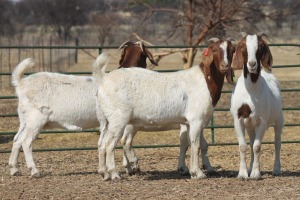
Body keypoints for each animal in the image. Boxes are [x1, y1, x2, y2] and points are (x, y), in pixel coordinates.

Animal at [96, 38, 237, 180]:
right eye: (214, 49)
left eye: (232, 50)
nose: (225, 66)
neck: (205, 80)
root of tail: (104, 82)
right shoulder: (196, 119)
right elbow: (195, 144)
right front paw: (198, 173)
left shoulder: (191, 122)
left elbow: (195, 144)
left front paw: (198, 170)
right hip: (119, 119)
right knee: (111, 144)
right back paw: (115, 174)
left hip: (107, 121)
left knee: (102, 144)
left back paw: (104, 173)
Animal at [230, 33, 284, 180]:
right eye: (243, 46)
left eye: (260, 46)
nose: (252, 64)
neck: (251, 92)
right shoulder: (238, 119)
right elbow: (243, 146)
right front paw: (243, 174)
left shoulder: (262, 121)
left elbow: (257, 146)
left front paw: (255, 174)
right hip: (250, 125)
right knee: (251, 140)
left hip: (279, 120)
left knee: (277, 143)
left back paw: (276, 169)